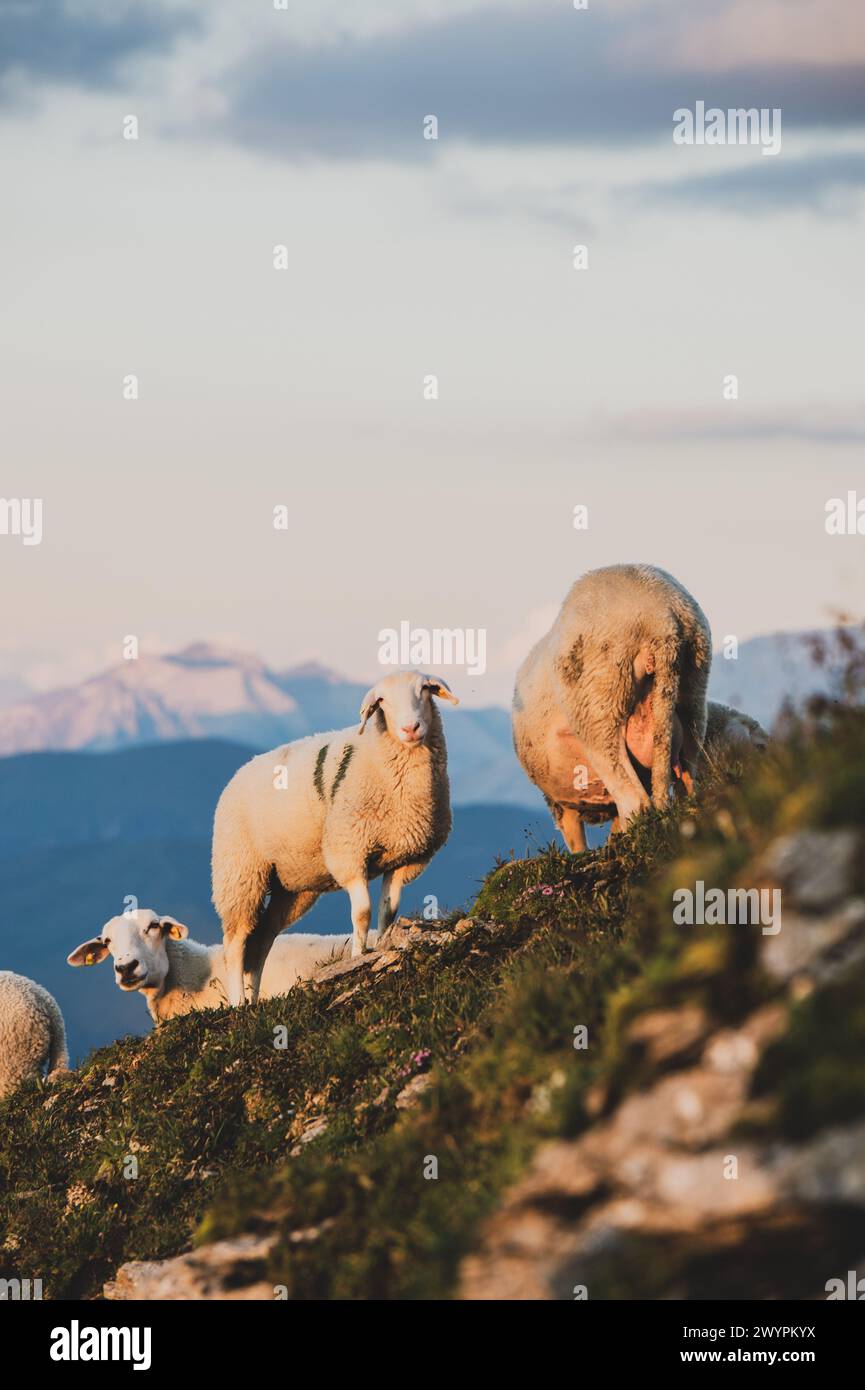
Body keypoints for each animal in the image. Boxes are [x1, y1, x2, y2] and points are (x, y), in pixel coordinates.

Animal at [212, 669, 458, 1006]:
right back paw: (238, 1001)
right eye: (382, 701)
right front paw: (358, 955)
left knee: (260, 941)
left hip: (291, 887)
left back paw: (255, 999)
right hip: (240, 872)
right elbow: (362, 911)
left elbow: (388, 911)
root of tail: (237, 774)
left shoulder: (405, 858)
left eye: (425, 689)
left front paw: (383, 943)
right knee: (235, 942)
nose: (411, 728)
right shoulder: (349, 851)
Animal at [513, 564, 712, 851]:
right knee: (688, 784)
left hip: (599, 705)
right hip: (693, 692)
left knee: (633, 800)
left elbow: (575, 840)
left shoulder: (560, 805)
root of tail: (662, 619)